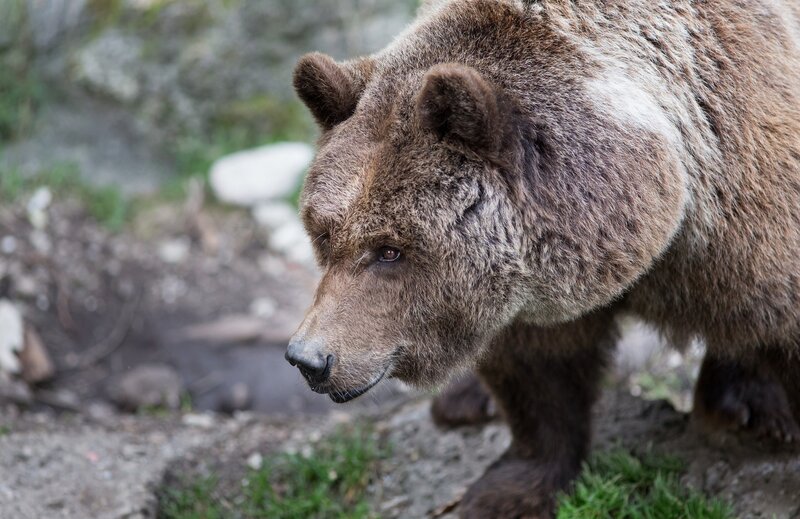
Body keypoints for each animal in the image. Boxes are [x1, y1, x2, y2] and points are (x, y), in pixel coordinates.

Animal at [285, 0, 800, 516]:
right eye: (324, 233)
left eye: (389, 249)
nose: (309, 359)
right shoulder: (522, 288)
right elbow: (537, 372)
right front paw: (508, 488)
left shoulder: (743, 206)